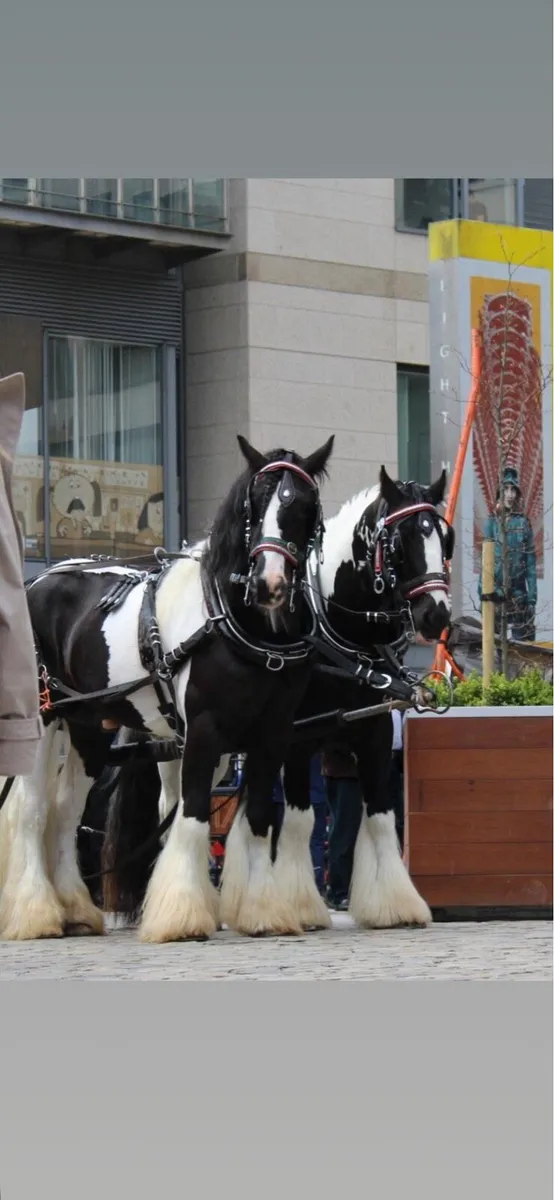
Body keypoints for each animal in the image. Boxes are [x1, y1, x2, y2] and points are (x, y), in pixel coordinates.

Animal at [0, 433, 334, 943]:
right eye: (254, 503)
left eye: (304, 505)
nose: (269, 584)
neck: (232, 623)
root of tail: (38, 579)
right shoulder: (203, 731)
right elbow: (192, 814)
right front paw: (183, 916)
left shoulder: (272, 734)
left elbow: (258, 817)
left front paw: (263, 912)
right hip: (43, 717)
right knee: (31, 810)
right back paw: (35, 914)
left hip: (88, 727)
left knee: (66, 810)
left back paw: (74, 910)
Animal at [98, 466, 453, 935]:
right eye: (400, 540)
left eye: (444, 539)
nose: (436, 614)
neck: (337, 629)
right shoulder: (298, 739)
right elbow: (300, 819)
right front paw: (301, 906)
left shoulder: (373, 731)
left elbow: (379, 814)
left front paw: (394, 905)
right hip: (181, 745)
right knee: (173, 808)